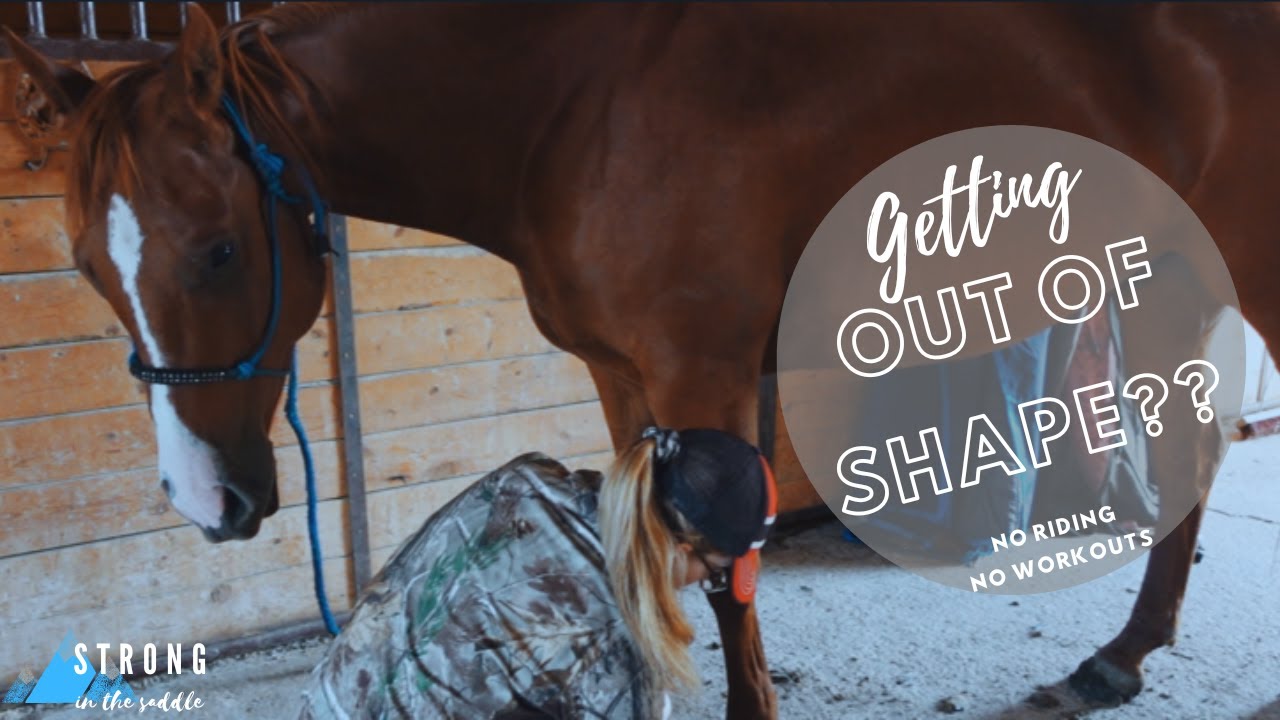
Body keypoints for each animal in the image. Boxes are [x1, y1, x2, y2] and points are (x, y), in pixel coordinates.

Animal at [7, 3, 1280, 716]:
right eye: (85, 263)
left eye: (220, 250)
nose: (205, 500)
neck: (571, 107)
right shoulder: (623, 382)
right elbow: (639, 571)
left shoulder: (702, 380)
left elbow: (725, 582)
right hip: (1159, 274)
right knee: (1190, 451)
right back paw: (1115, 660)